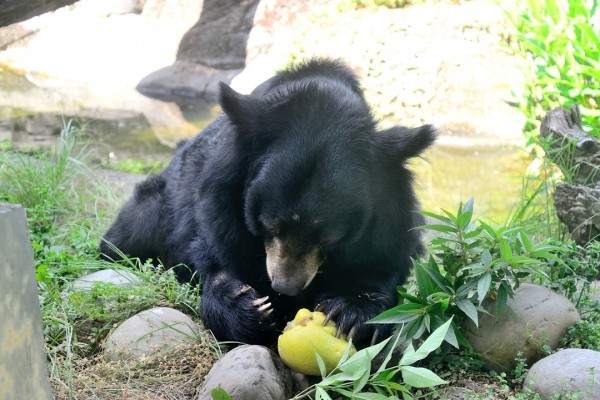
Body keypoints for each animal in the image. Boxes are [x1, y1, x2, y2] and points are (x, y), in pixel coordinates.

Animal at [101, 57, 434, 348]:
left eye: (330, 238)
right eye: (267, 224)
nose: (285, 287)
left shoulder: (390, 213)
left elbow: (380, 262)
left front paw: (349, 313)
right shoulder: (219, 205)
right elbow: (216, 255)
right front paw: (250, 307)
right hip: (153, 205)